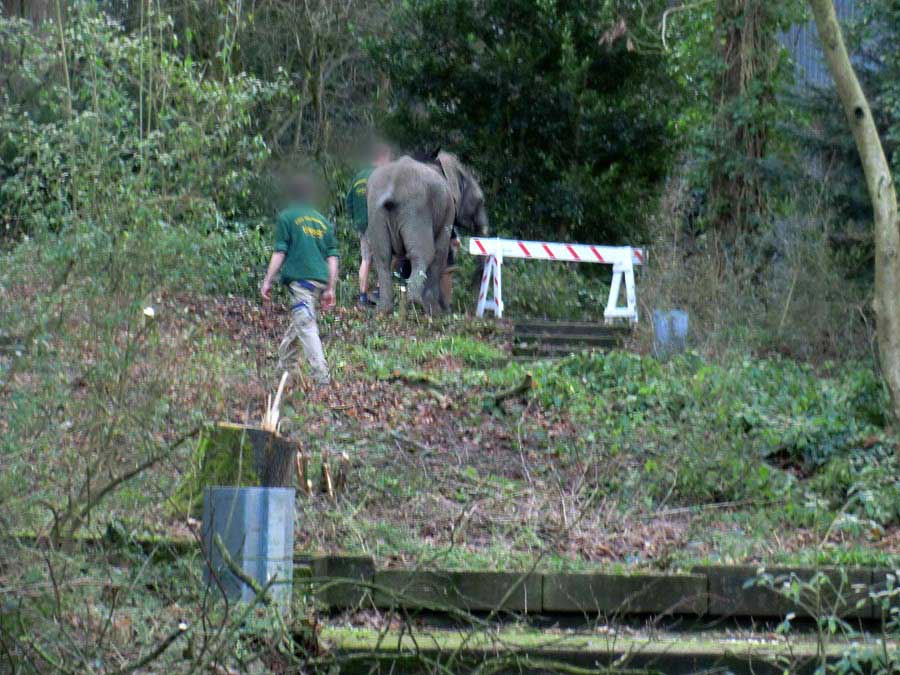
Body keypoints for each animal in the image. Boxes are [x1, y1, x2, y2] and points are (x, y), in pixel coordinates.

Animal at [368, 151, 488, 314]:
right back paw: (415, 306)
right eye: (481, 201)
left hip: (376, 212)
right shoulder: (448, 208)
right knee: (423, 254)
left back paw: (383, 310)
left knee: (382, 256)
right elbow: (441, 252)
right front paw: (437, 312)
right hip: (416, 210)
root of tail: (393, 185)